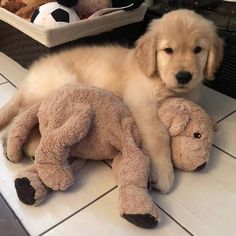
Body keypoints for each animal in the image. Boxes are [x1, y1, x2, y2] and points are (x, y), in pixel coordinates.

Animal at [0, 9, 223, 194]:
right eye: (168, 50)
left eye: (198, 50)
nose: (184, 76)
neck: (159, 79)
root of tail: (28, 78)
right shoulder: (142, 105)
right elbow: (159, 135)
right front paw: (163, 173)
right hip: (61, 84)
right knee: (23, 117)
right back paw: (18, 143)